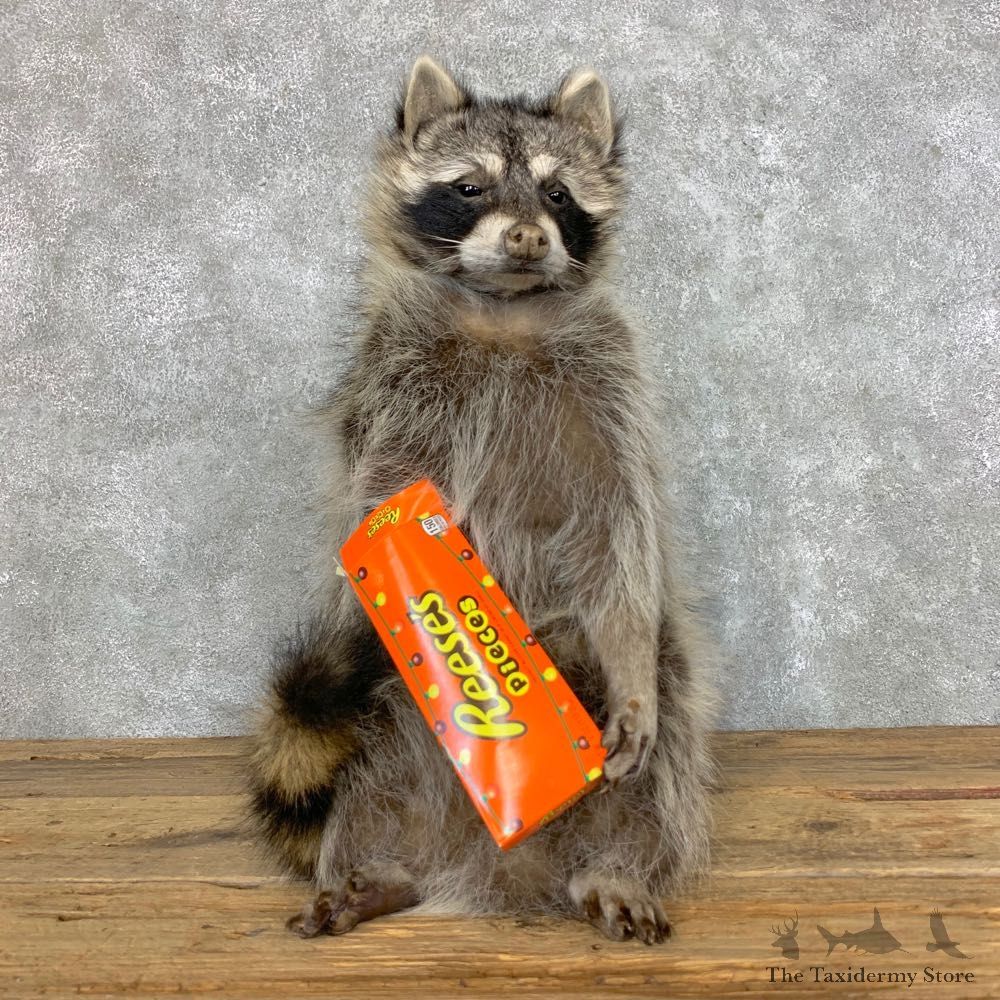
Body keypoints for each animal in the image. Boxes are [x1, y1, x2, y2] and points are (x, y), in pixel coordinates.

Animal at [248, 56, 720, 945]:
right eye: (469, 188)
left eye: (559, 194)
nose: (528, 235)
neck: (505, 310)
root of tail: (492, 871)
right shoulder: (389, 389)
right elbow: (374, 499)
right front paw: (417, 564)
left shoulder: (611, 394)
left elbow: (622, 536)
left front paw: (631, 663)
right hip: (376, 703)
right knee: (361, 760)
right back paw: (372, 868)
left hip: (606, 679)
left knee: (664, 745)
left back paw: (618, 864)